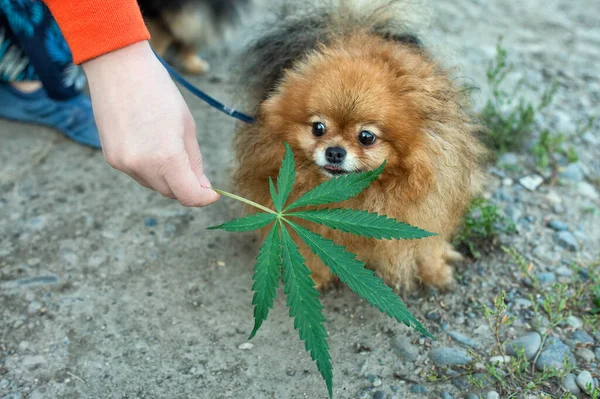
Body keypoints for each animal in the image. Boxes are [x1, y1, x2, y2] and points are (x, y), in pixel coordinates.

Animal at [232, 0, 486, 294]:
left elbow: (426, 247)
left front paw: (435, 272)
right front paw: (314, 277)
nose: (334, 151)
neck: (361, 194)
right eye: (318, 128)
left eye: (366, 136)